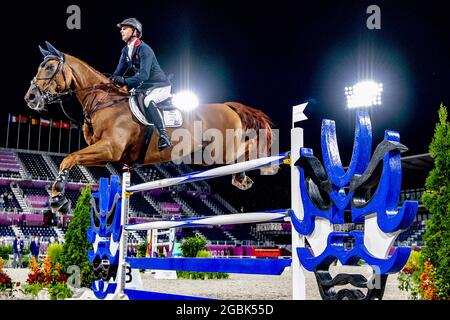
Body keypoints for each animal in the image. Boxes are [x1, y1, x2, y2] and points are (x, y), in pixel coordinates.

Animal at [25, 42, 278, 216]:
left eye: (49, 67)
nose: (30, 97)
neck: (103, 100)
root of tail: (227, 106)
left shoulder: (110, 148)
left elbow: (68, 158)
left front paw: (58, 198)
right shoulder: (105, 154)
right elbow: (73, 158)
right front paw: (58, 198)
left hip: (220, 150)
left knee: (244, 148)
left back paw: (255, 170)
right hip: (210, 153)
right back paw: (246, 174)